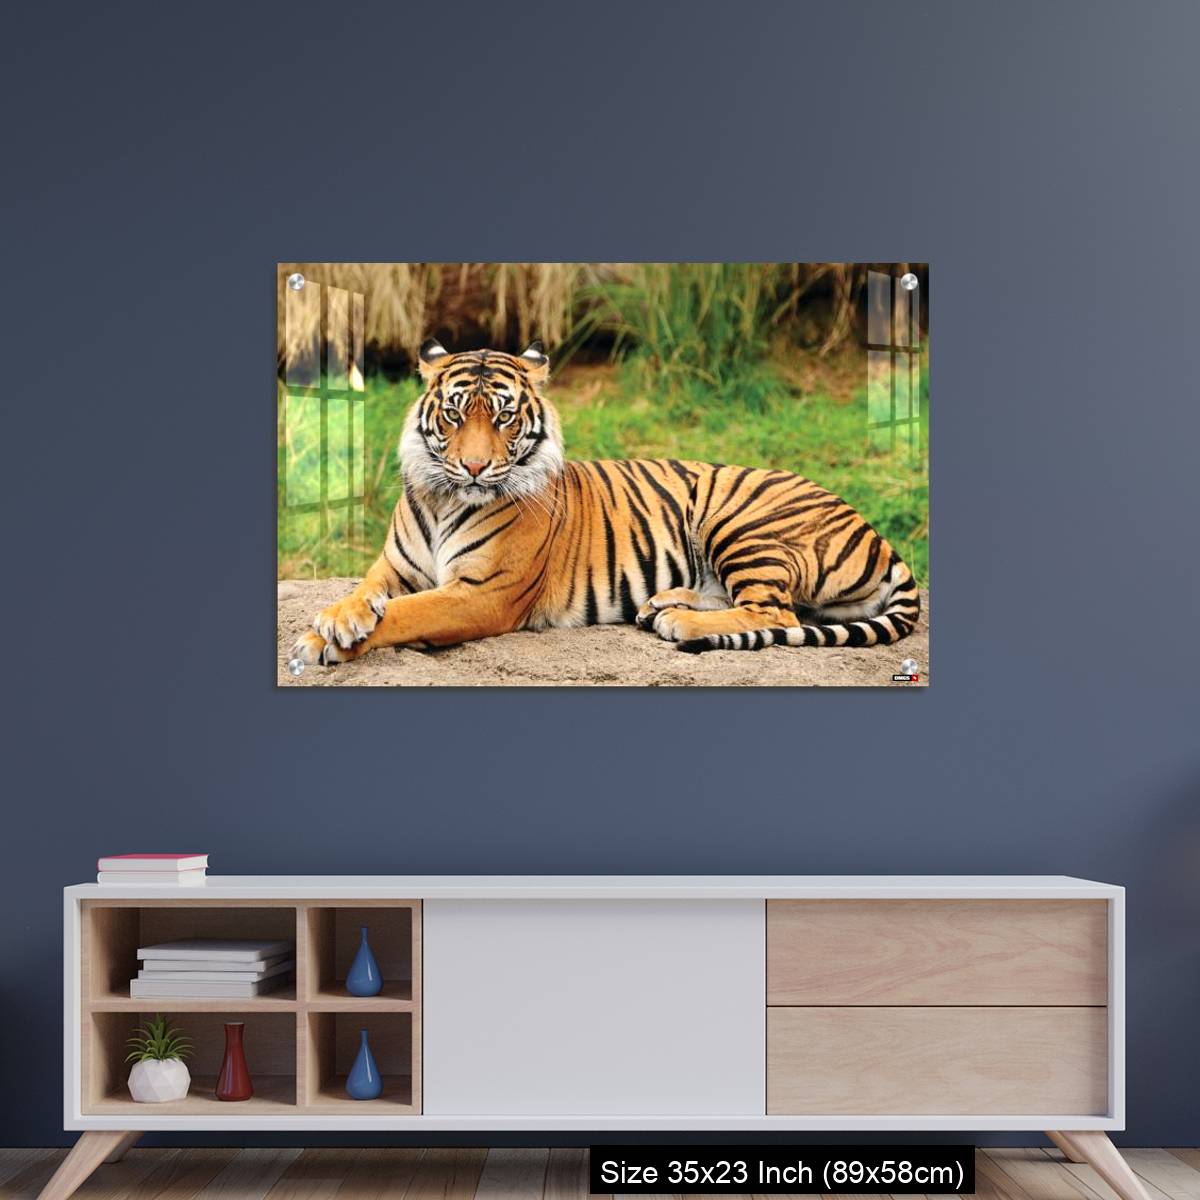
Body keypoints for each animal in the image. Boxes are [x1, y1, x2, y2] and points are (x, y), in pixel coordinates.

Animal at [289, 339, 920, 666]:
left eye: (504, 417)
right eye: (453, 414)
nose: (473, 467)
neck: (446, 499)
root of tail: (876, 532)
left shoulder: (483, 593)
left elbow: (408, 613)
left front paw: (325, 641)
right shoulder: (394, 567)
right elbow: (365, 594)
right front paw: (336, 619)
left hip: (739, 519)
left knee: (777, 613)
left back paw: (680, 623)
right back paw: (662, 605)